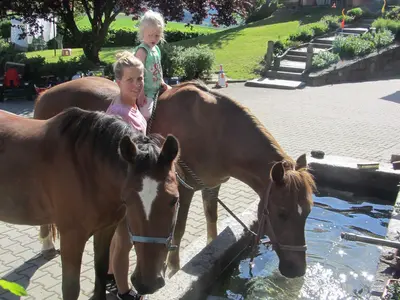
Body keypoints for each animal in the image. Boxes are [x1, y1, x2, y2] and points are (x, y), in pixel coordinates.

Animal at [0, 106, 180, 298]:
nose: (147, 283)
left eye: (174, 200)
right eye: (127, 200)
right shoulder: (71, 238)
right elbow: (71, 288)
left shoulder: (106, 229)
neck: (88, 170)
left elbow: (100, 271)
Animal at [34, 76, 316, 280]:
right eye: (281, 213)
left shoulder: (211, 186)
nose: (297, 270)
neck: (216, 130)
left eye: (307, 212)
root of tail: (45, 94)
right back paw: (46, 242)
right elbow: (178, 229)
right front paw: (172, 267)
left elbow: (211, 220)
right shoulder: (184, 187)